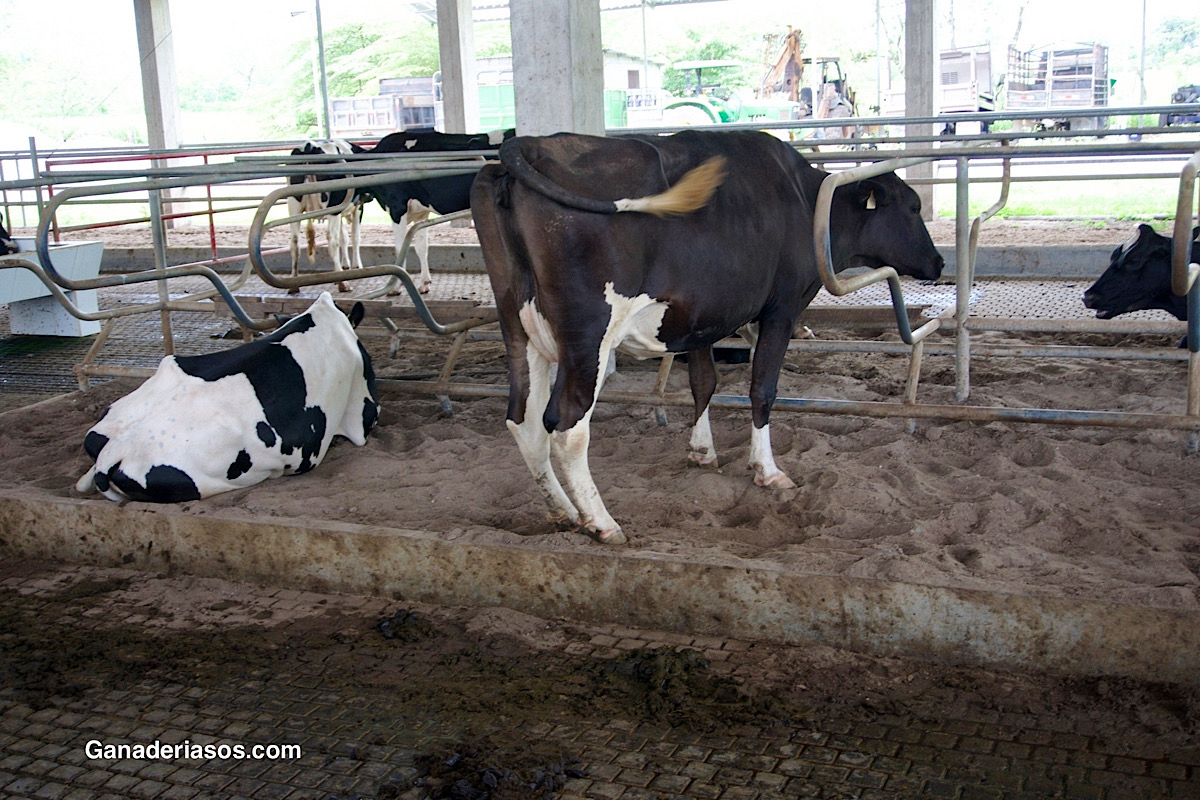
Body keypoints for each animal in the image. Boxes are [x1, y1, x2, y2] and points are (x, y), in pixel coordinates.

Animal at [288, 139, 368, 294]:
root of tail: (310, 146)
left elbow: (344, 237)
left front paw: (345, 265)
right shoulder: (357, 208)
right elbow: (355, 237)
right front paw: (357, 266)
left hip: (294, 207)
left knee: (294, 241)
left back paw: (294, 283)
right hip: (333, 208)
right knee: (332, 240)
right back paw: (343, 283)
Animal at [364, 128, 513, 293]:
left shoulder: (396, 207)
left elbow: (399, 249)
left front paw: (395, 286)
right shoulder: (421, 213)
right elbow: (421, 246)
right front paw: (424, 283)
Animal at [471, 129, 944, 544]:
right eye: (913, 206)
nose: (939, 262)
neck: (805, 198)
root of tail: (528, 147)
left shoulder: (699, 317)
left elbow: (704, 384)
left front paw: (701, 451)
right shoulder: (782, 308)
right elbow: (762, 389)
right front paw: (767, 470)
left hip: (518, 329)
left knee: (523, 419)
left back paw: (564, 512)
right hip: (588, 340)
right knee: (567, 425)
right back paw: (602, 523)